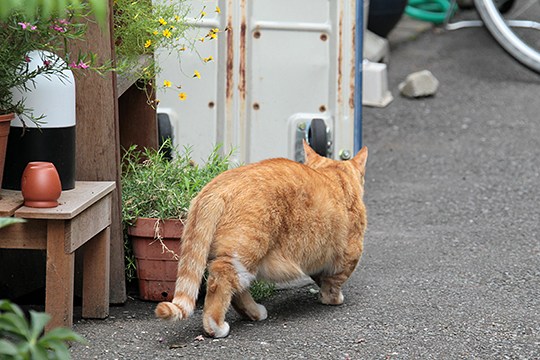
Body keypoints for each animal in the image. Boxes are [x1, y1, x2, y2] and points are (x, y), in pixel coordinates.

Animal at [154, 141, 370, 338]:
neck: (335, 176)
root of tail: (216, 187)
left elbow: (321, 277)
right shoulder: (348, 255)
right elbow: (333, 283)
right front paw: (332, 299)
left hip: (244, 259)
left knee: (237, 290)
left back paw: (254, 313)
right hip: (245, 252)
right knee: (221, 281)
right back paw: (215, 327)